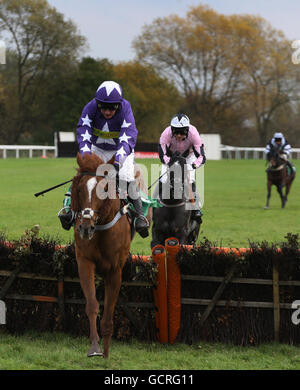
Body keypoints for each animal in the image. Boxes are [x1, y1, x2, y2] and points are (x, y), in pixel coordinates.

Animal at [70, 152, 150, 356]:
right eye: (80, 188)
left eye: (105, 188)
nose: (85, 227)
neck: (100, 228)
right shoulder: (84, 261)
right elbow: (92, 305)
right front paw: (95, 347)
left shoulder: (115, 270)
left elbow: (109, 311)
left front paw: (106, 350)